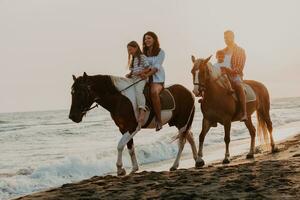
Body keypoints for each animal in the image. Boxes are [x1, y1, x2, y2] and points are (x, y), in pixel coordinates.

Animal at [69, 72, 198, 176]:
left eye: (80, 92)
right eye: (72, 93)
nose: (72, 116)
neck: (119, 99)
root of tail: (189, 92)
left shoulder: (133, 127)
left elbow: (120, 145)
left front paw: (120, 169)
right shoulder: (123, 128)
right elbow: (130, 147)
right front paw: (134, 168)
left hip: (182, 123)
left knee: (182, 142)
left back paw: (175, 165)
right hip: (180, 123)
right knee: (190, 137)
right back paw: (198, 161)